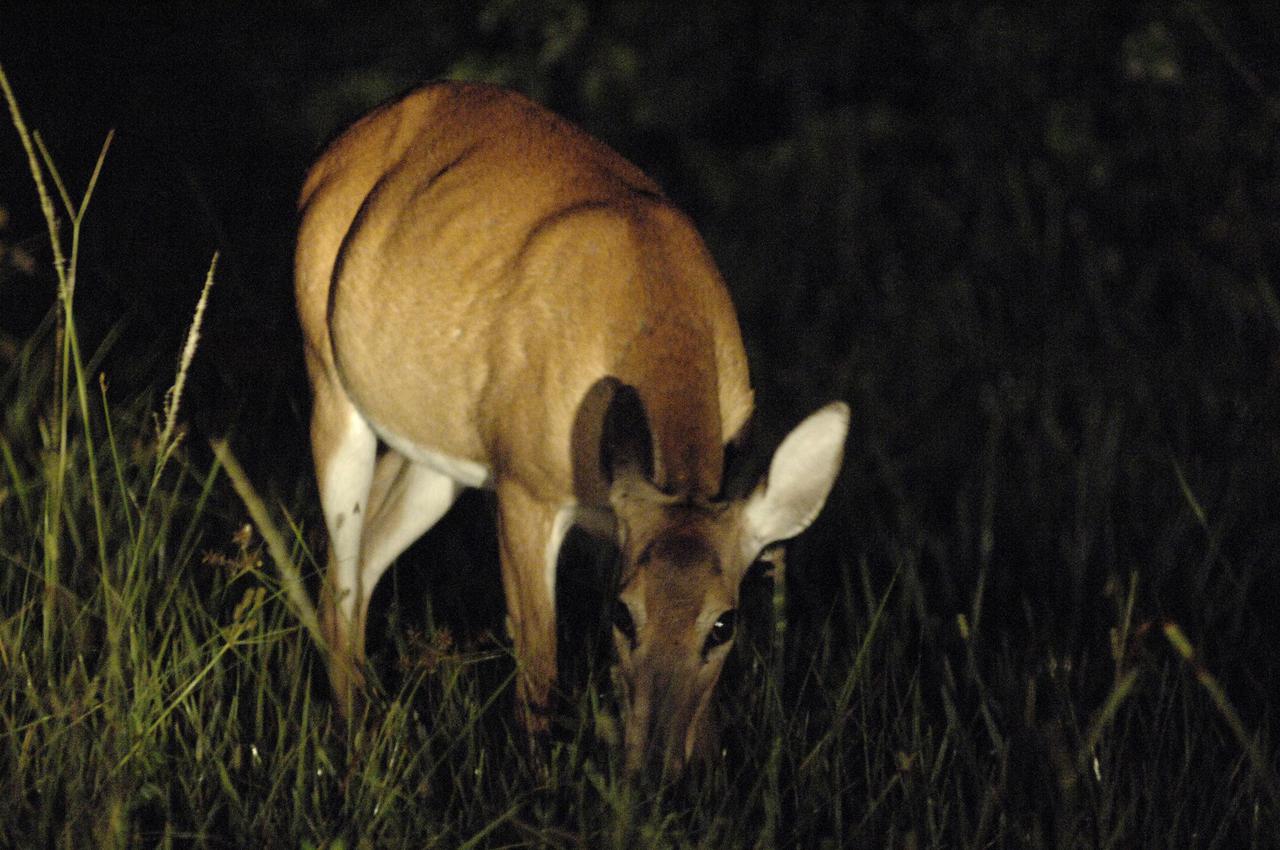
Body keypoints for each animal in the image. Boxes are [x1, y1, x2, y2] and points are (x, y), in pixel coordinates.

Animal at [295, 81, 849, 776]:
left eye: (725, 623)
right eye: (622, 614)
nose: (652, 769)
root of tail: (339, 147)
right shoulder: (525, 486)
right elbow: (540, 674)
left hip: (439, 454)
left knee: (362, 561)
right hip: (330, 388)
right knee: (341, 579)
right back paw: (353, 750)